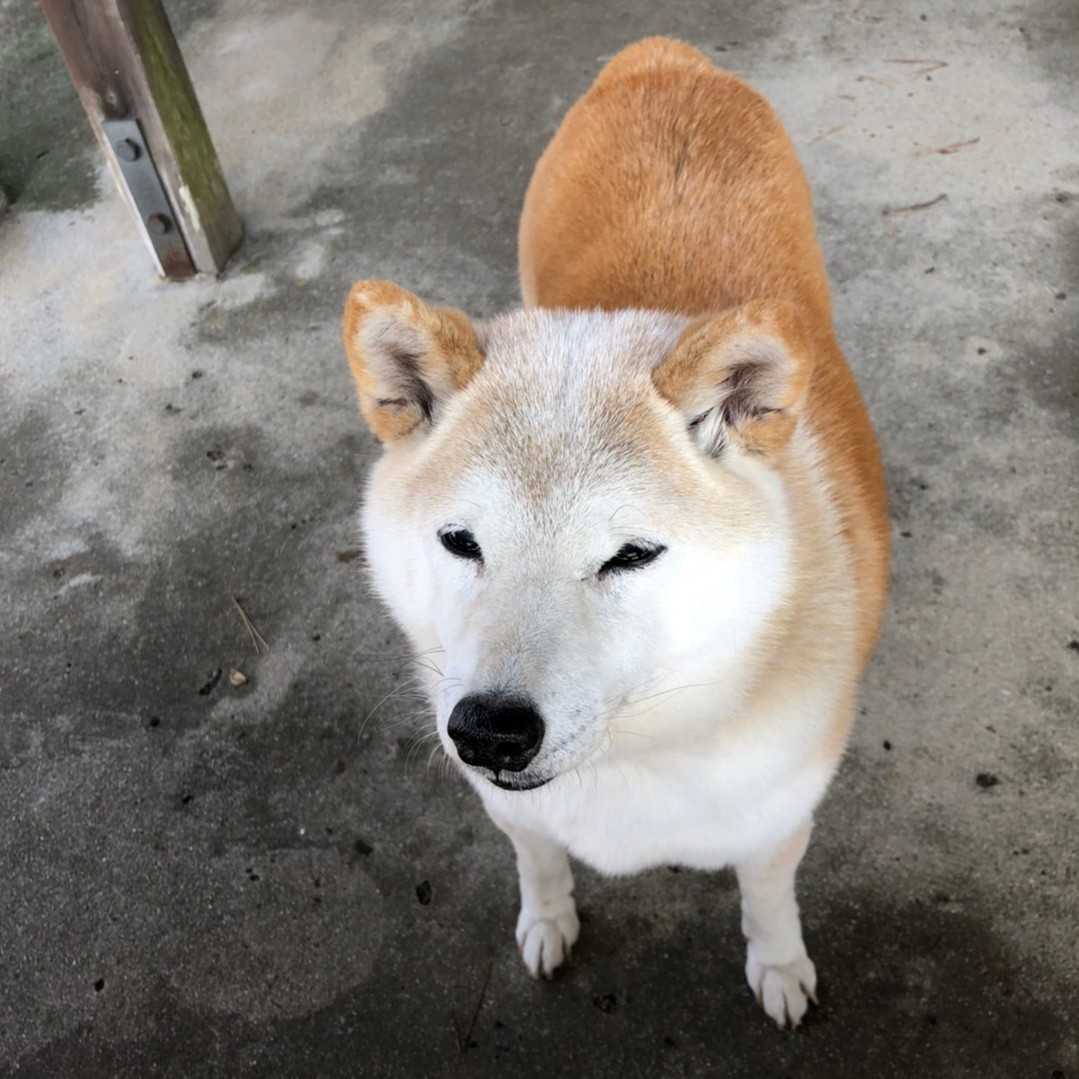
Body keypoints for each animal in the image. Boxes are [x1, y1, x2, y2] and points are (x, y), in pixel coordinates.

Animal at [342, 37, 889, 1029]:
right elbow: (538, 860)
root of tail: (660, 53)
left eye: (630, 555)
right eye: (459, 542)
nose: (489, 730)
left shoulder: (775, 820)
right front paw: (547, 918)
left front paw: (779, 965)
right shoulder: (513, 810)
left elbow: (767, 900)